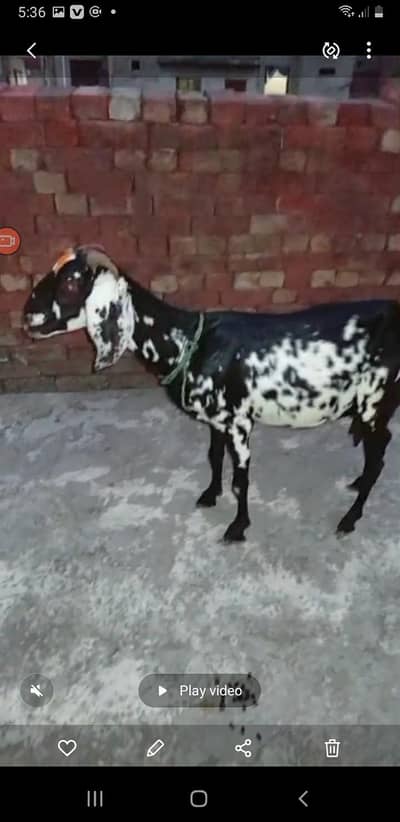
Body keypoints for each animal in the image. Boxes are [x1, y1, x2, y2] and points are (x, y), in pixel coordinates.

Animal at [23, 244, 400, 542]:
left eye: (71, 281)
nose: (27, 316)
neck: (188, 341)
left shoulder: (240, 423)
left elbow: (240, 480)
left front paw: (237, 527)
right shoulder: (217, 421)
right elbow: (214, 457)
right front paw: (209, 494)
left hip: (374, 400)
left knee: (380, 452)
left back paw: (350, 518)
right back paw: (356, 484)